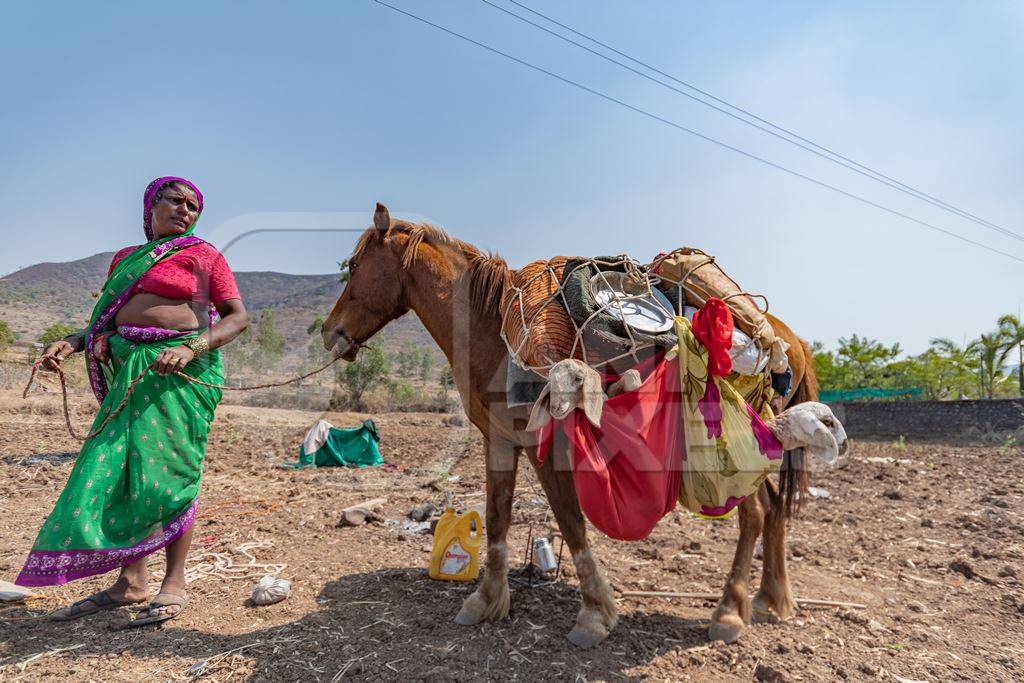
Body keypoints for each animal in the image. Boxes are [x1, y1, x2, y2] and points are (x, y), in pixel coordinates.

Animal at [323, 202, 819, 647]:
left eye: (355, 266)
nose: (329, 332)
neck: (492, 328)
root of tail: (788, 338)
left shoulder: (545, 444)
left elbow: (570, 521)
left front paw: (595, 614)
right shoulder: (499, 439)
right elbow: (498, 519)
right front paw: (486, 601)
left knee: (755, 514)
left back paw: (730, 612)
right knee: (774, 509)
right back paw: (770, 599)